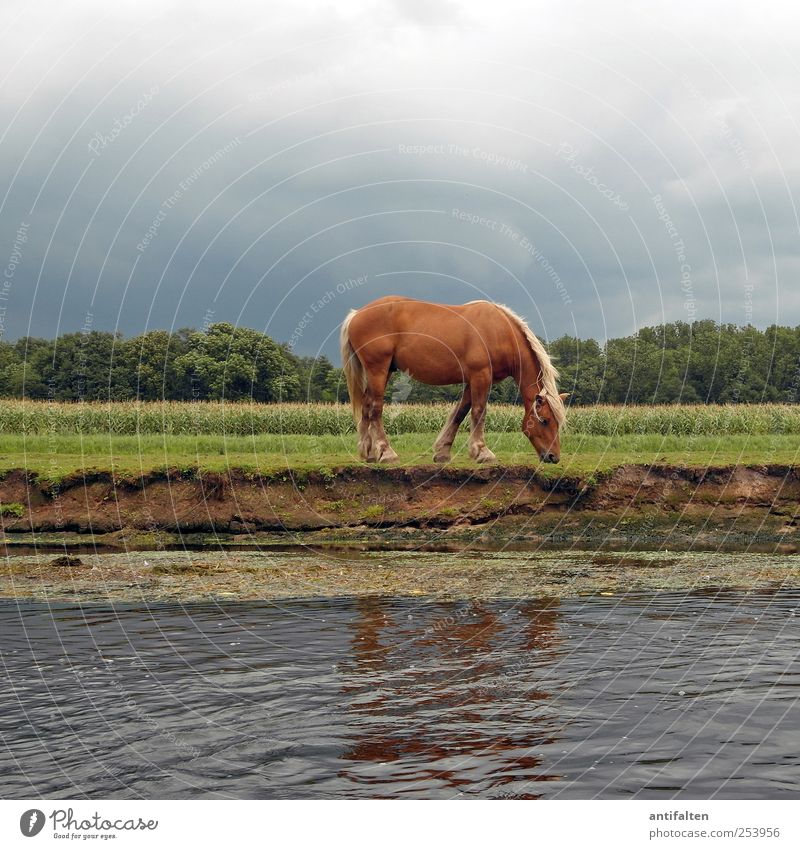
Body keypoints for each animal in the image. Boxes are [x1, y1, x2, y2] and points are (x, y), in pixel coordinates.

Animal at [340, 296, 568, 464]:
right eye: (545, 420)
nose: (554, 457)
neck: (499, 332)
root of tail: (356, 314)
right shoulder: (481, 376)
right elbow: (478, 411)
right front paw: (482, 451)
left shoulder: (472, 379)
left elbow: (460, 412)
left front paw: (443, 451)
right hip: (378, 370)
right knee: (376, 408)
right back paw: (386, 452)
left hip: (383, 372)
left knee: (367, 406)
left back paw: (369, 452)